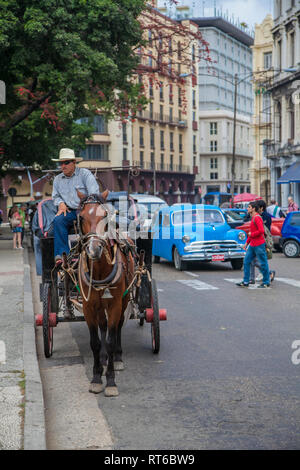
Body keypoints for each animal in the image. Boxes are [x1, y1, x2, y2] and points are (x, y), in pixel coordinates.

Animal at [77, 190, 134, 396]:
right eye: (81, 217)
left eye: (105, 216)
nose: (94, 249)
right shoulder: (88, 306)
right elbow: (95, 342)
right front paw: (96, 377)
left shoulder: (115, 304)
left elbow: (110, 338)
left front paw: (110, 381)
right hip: (99, 305)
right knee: (103, 325)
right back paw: (102, 358)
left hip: (124, 300)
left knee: (117, 326)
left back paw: (116, 358)